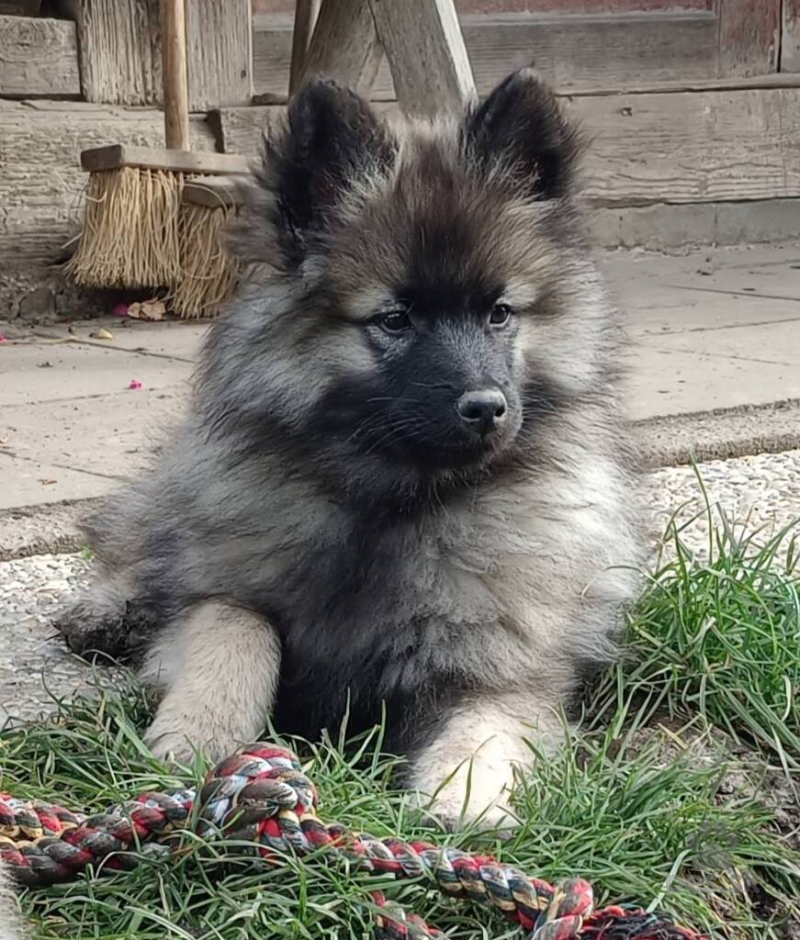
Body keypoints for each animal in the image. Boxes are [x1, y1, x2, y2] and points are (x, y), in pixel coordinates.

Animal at [57, 69, 641, 827]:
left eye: (499, 313)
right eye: (394, 319)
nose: (486, 408)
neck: (389, 502)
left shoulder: (508, 672)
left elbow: (485, 729)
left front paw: (464, 797)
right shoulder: (221, 592)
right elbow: (234, 631)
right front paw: (198, 734)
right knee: (139, 537)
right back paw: (104, 611)